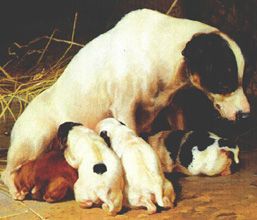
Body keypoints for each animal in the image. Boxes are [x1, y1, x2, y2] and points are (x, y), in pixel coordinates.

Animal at [3, 8, 249, 198]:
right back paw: (16, 190)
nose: (246, 115)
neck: (159, 53)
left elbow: (180, 129)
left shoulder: (175, 106)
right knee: (7, 172)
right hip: (34, 140)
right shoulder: (125, 109)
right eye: (223, 81)